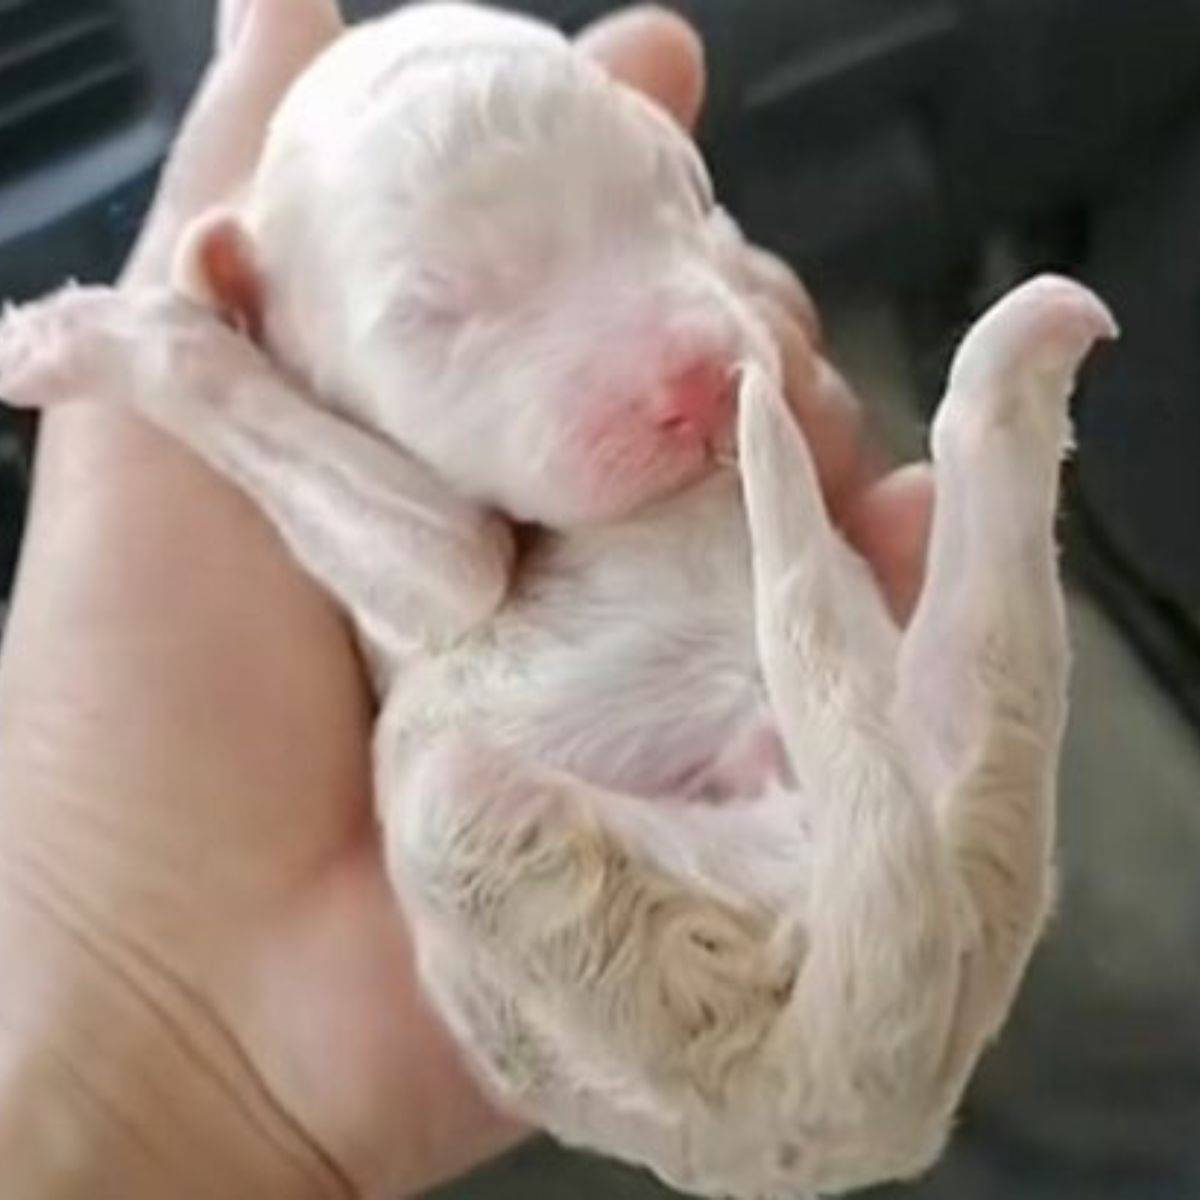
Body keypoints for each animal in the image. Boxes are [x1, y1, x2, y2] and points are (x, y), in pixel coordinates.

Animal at [0, 4, 1113, 1195]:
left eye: (681, 180)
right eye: (434, 315)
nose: (697, 384)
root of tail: (840, 1097)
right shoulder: (423, 565)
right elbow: (454, 558)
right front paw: (69, 338)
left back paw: (1017, 361)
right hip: (498, 839)